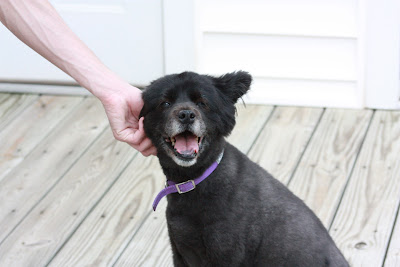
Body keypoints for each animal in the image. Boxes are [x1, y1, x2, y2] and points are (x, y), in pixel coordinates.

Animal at [139, 71, 348, 267]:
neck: (193, 181)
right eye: (165, 103)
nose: (186, 115)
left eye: (202, 103)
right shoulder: (180, 253)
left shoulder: (226, 256)